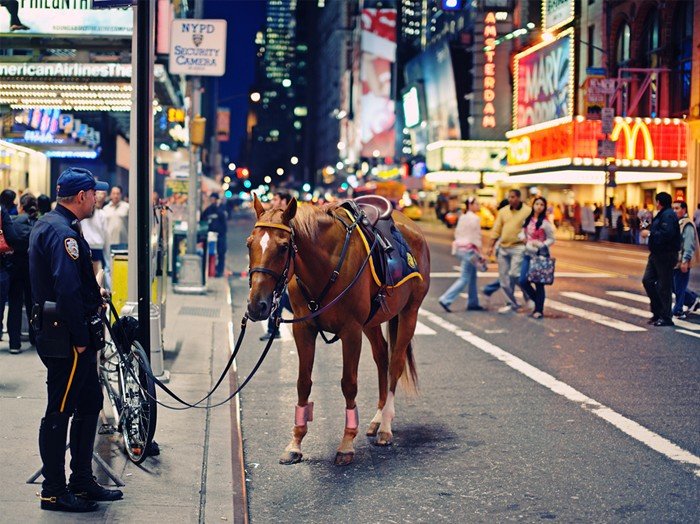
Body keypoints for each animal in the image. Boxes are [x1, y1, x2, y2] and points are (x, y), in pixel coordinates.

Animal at [246, 194, 432, 464]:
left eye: (283, 247)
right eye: (249, 244)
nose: (256, 305)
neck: (326, 266)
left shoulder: (351, 331)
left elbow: (349, 384)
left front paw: (346, 443)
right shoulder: (304, 329)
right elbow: (303, 382)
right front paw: (296, 442)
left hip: (410, 312)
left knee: (395, 364)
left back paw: (386, 426)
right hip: (372, 322)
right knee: (382, 357)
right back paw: (377, 419)